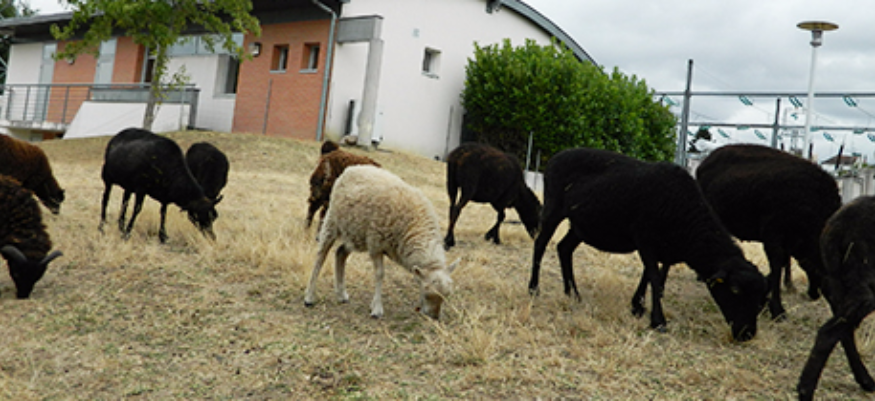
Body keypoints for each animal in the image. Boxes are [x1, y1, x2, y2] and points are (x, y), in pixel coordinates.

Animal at [304, 165, 458, 320]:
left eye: (446, 296)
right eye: (426, 293)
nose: (434, 317)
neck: (415, 227)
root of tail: (354, 167)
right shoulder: (376, 244)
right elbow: (380, 274)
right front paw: (377, 309)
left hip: (355, 233)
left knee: (340, 252)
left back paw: (341, 295)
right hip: (332, 221)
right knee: (321, 256)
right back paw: (309, 297)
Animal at [528, 148, 768, 341]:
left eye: (760, 297)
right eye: (734, 290)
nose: (747, 334)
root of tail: (556, 157)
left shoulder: (664, 249)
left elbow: (655, 277)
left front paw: (638, 307)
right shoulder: (645, 240)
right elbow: (653, 276)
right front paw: (658, 321)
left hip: (581, 225)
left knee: (563, 248)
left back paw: (572, 293)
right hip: (553, 208)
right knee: (540, 244)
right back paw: (534, 288)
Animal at [696, 144, 840, 320]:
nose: (815, 295)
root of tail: (706, 160)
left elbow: (781, 264)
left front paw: (765, 300)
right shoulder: (773, 234)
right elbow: (777, 266)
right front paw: (777, 310)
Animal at [797, 195, 875, 400]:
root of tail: (836, 225)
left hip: (837, 282)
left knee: (844, 331)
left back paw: (866, 381)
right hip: (862, 281)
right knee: (829, 333)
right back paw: (805, 390)